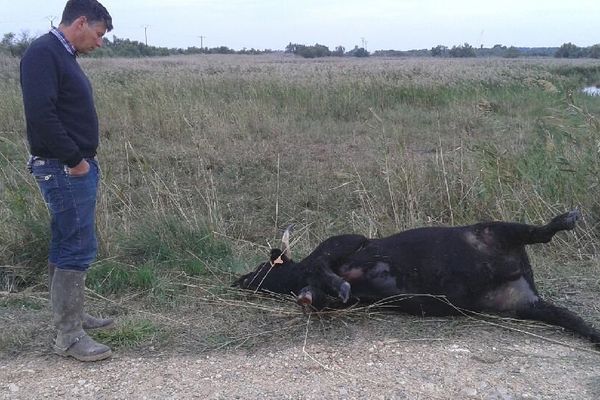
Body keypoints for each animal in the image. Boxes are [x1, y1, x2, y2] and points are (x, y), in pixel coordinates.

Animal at [234, 211, 600, 348]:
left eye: (261, 265)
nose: (239, 279)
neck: (298, 273)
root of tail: (519, 269)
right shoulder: (336, 298)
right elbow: (320, 296)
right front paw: (310, 297)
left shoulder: (347, 242)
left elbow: (325, 266)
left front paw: (334, 283)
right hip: (526, 304)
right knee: (576, 322)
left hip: (493, 230)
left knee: (541, 234)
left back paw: (564, 220)